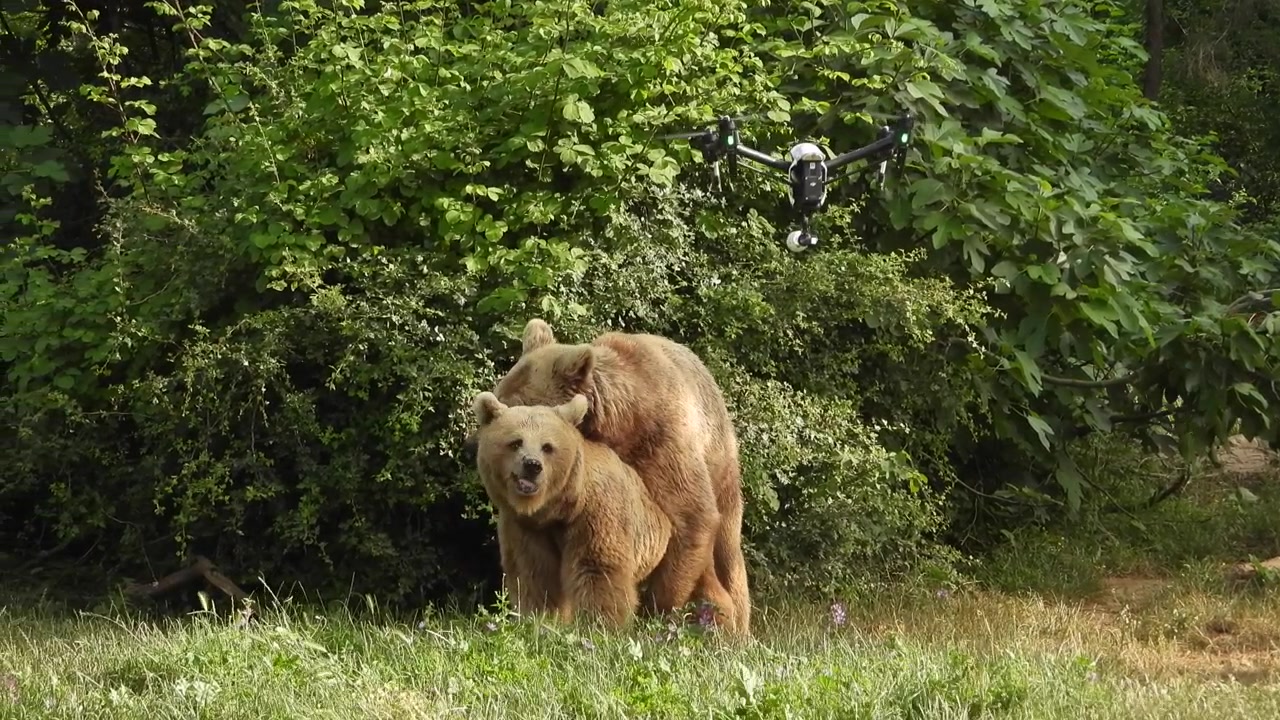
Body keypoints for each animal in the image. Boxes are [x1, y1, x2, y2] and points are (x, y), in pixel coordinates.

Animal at [471, 390, 674, 628]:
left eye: (547, 446)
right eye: (515, 442)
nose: (532, 465)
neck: (557, 509)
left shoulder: (594, 515)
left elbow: (596, 568)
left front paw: (599, 623)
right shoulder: (525, 527)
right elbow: (535, 573)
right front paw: (540, 618)